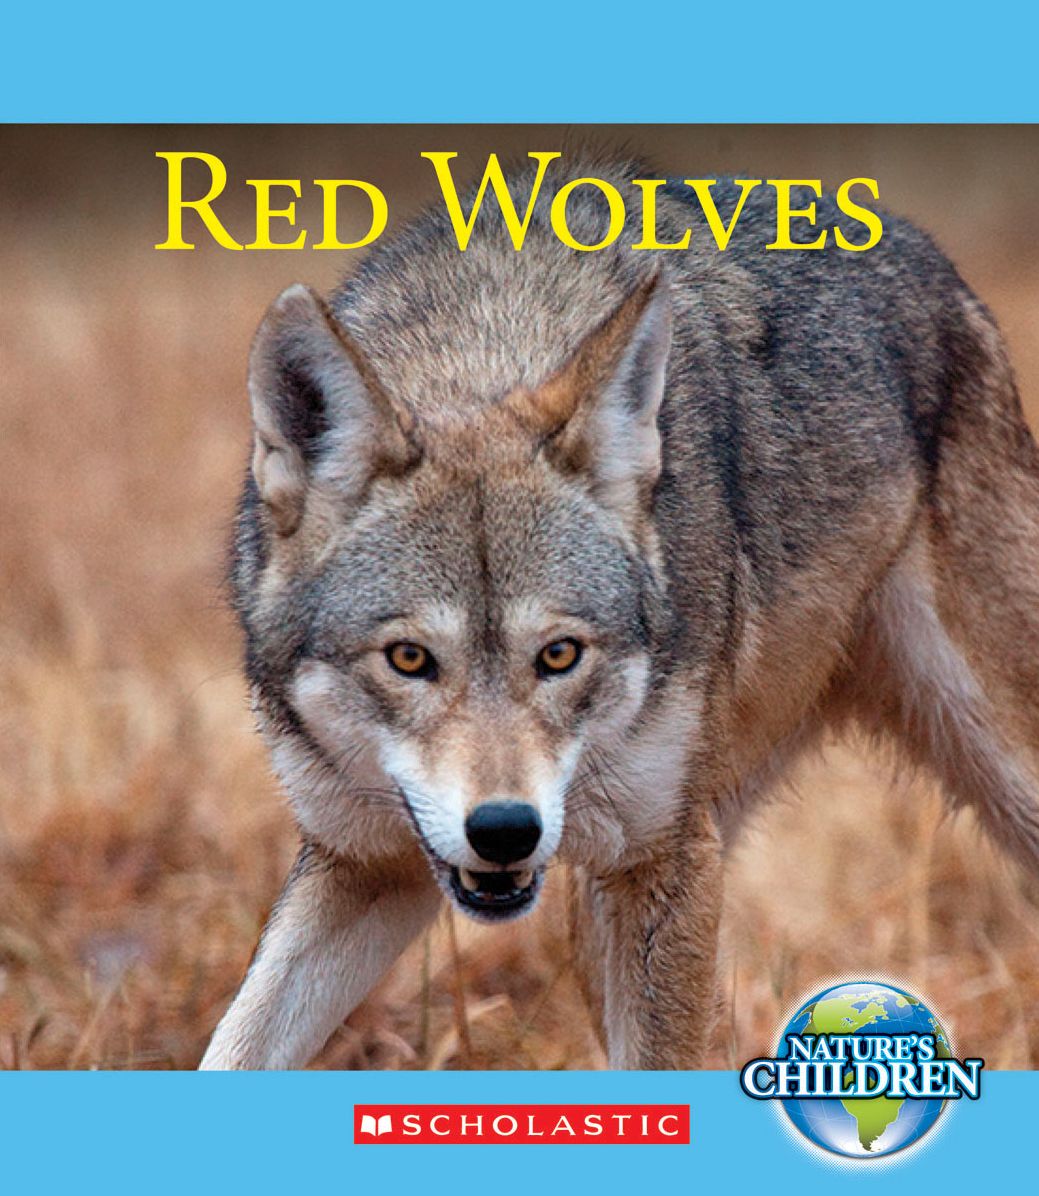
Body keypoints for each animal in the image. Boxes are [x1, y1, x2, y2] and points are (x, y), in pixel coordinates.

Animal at [200, 156, 1039, 1070]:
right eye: (409, 659)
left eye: (560, 655)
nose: (505, 830)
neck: (479, 353)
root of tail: (917, 246)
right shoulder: (362, 862)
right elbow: (234, 1044)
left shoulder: (665, 863)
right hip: (602, 899)